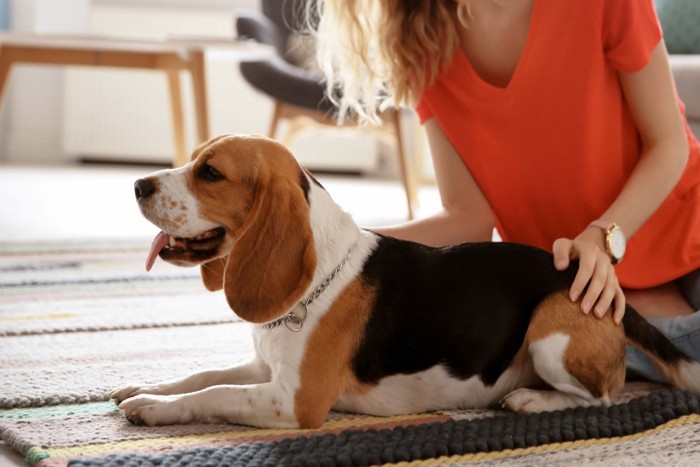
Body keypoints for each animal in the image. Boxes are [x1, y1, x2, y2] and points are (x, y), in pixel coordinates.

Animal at [112, 133, 700, 430]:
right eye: (194, 159)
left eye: (210, 172)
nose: (137, 185)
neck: (315, 282)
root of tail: (588, 275)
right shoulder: (265, 367)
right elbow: (203, 374)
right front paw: (147, 389)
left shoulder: (293, 401)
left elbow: (216, 392)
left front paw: (155, 408)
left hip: (552, 331)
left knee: (606, 398)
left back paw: (534, 401)